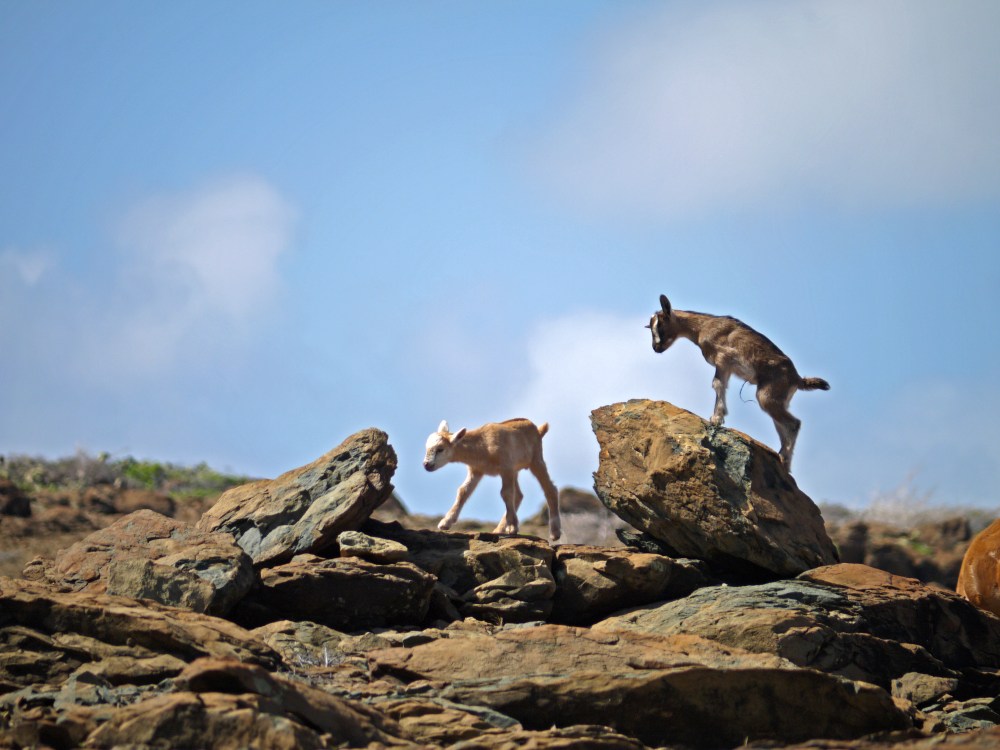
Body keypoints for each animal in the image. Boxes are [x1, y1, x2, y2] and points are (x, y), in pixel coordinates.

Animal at [423, 418, 561, 541]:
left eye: (440, 449)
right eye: (426, 448)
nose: (426, 465)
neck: (483, 445)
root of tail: (538, 430)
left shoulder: (506, 467)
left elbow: (506, 493)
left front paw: (512, 527)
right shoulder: (476, 470)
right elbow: (463, 491)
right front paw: (445, 523)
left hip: (536, 459)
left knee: (550, 489)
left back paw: (555, 533)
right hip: (515, 469)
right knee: (519, 495)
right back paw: (499, 529)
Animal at [647, 294, 829, 471]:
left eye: (661, 325)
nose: (656, 348)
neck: (701, 327)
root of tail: (797, 379)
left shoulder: (723, 358)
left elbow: (717, 384)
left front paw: (716, 418)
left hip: (767, 395)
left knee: (793, 424)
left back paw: (784, 459)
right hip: (778, 399)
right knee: (782, 424)